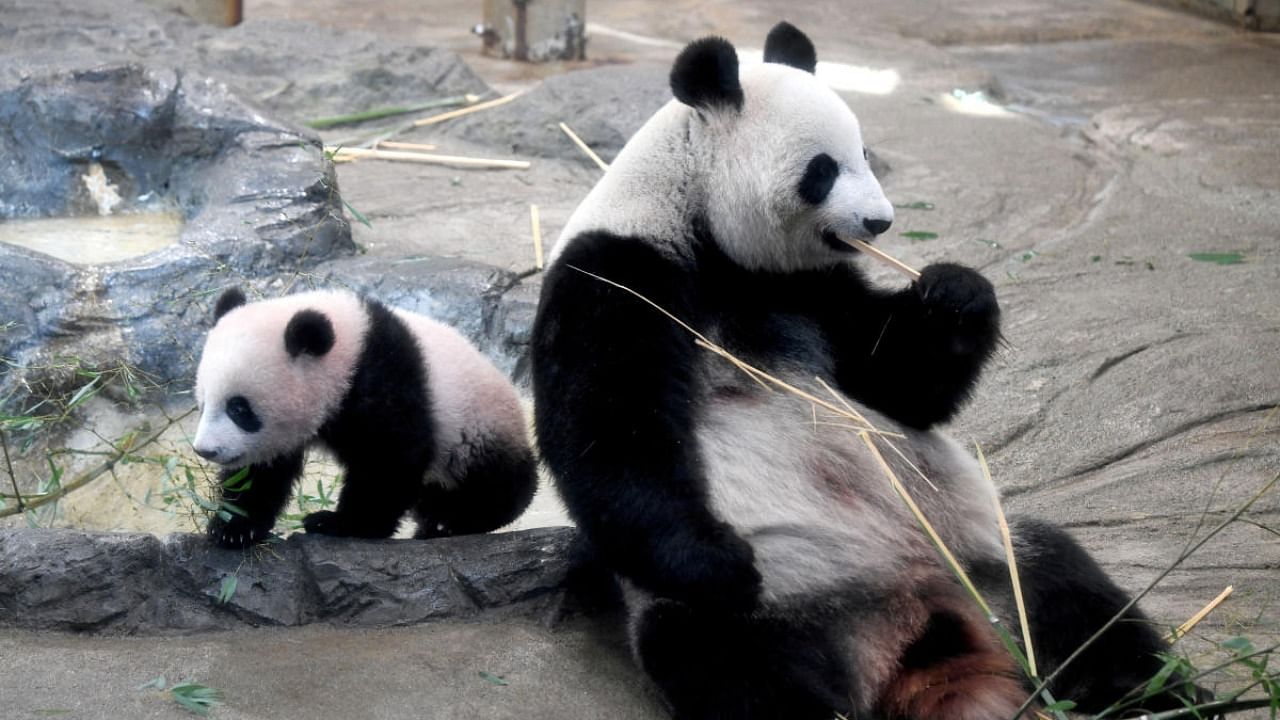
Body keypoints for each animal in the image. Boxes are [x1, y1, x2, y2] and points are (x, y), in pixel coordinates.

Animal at [192, 285, 537, 543]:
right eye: (203, 403)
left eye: (239, 408)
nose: (205, 450)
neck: (349, 347)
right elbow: (262, 472)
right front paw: (234, 527)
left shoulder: (383, 378)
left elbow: (388, 459)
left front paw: (339, 524)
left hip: (476, 428)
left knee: (495, 482)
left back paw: (455, 520)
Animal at [529, 22, 1208, 717]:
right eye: (823, 170)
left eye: (865, 153)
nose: (880, 221)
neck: (705, 229)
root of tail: (915, 620)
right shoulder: (620, 272)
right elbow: (611, 431)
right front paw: (719, 563)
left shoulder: (809, 289)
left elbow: (898, 383)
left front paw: (956, 295)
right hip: (785, 607)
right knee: (728, 664)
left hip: (986, 558)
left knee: (1071, 591)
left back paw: (1163, 696)